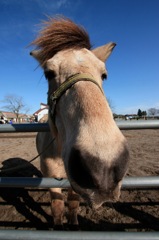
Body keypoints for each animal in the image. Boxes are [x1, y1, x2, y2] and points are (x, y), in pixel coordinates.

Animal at [30, 15, 129, 230]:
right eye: (48, 73)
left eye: (104, 75)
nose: (104, 169)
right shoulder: (52, 181)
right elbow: (57, 207)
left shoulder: (74, 183)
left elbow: (73, 204)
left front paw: (74, 225)